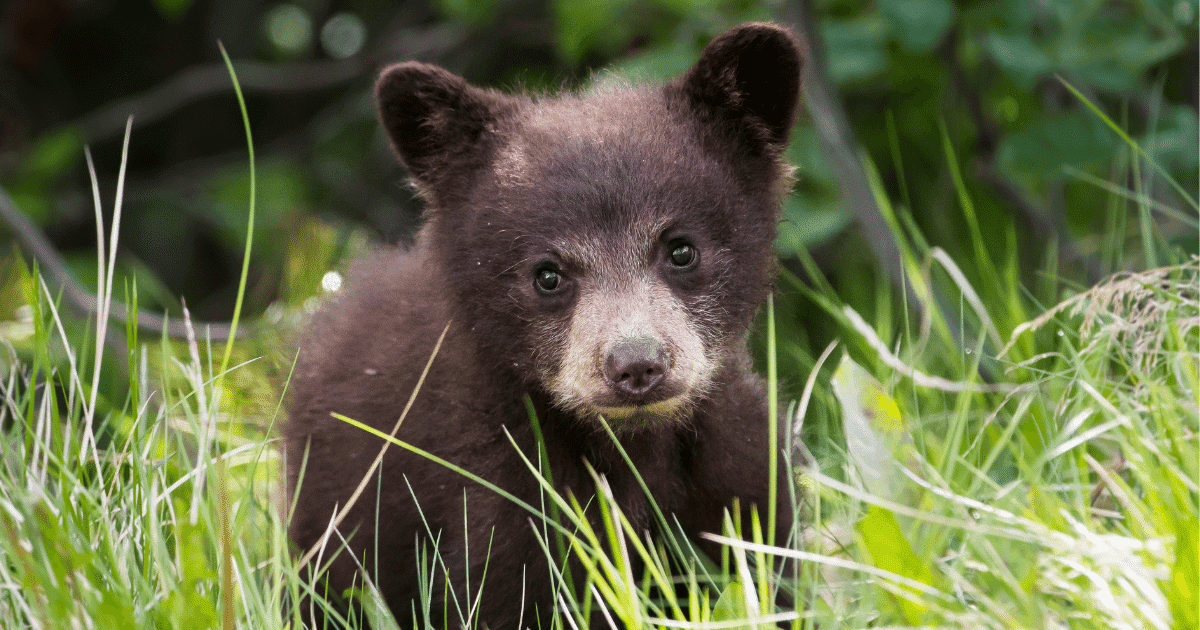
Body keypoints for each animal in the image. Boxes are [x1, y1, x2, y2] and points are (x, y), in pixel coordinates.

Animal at [285, 22, 804, 629]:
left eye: (681, 249)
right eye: (548, 275)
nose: (636, 365)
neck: (636, 446)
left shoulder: (744, 475)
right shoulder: (499, 492)